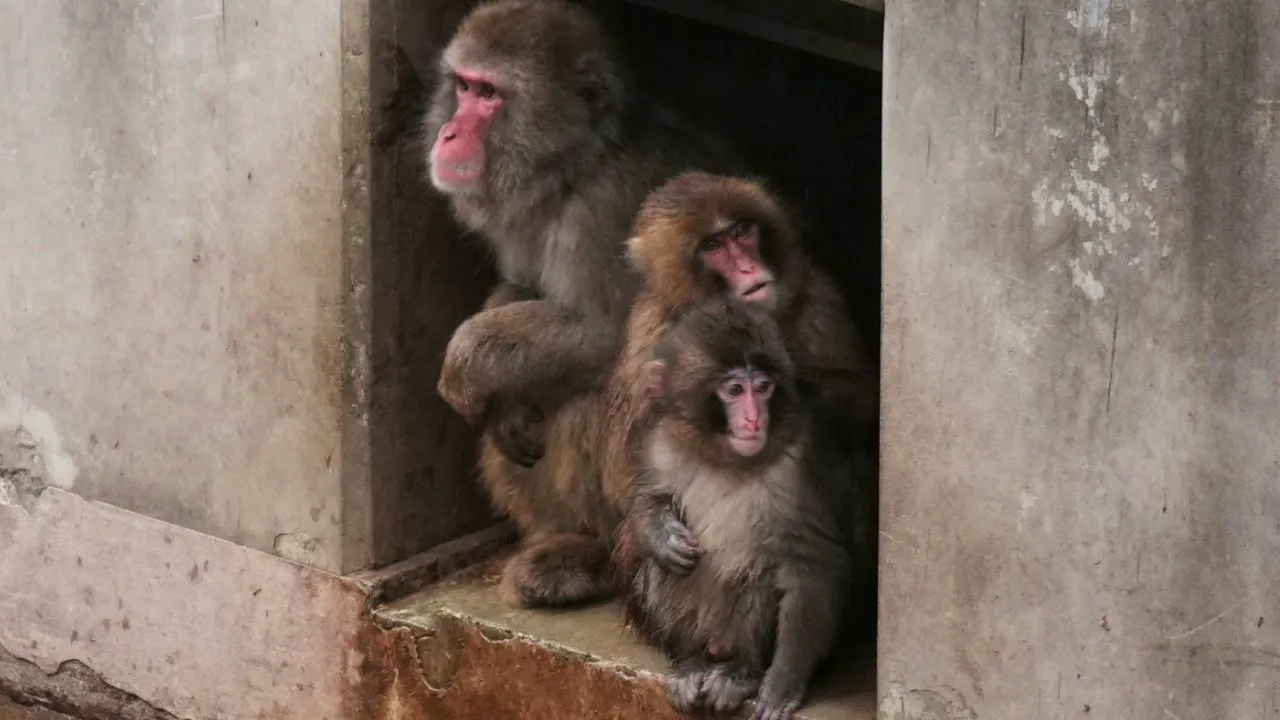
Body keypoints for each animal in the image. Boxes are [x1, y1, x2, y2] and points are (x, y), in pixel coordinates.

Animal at [422, 0, 737, 608]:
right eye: (464, 86)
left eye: (489, 95)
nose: (448, 132)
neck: (575, 169)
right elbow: (521, 291)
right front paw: (504, 402)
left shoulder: (607, 213)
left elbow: (605, 335)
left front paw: (465, 365)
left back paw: (594, 557)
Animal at [626, 296, 857, 720]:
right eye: (734, 390)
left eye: (763, 387)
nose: (753, 418)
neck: (725, 458)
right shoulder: (662, 443)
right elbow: (646, 499)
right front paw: (661, 535)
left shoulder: (797, 468)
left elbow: (813, 564)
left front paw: (783, 682)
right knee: (663, 570)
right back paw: (690, 662)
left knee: (761, 577)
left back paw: (741, 672)